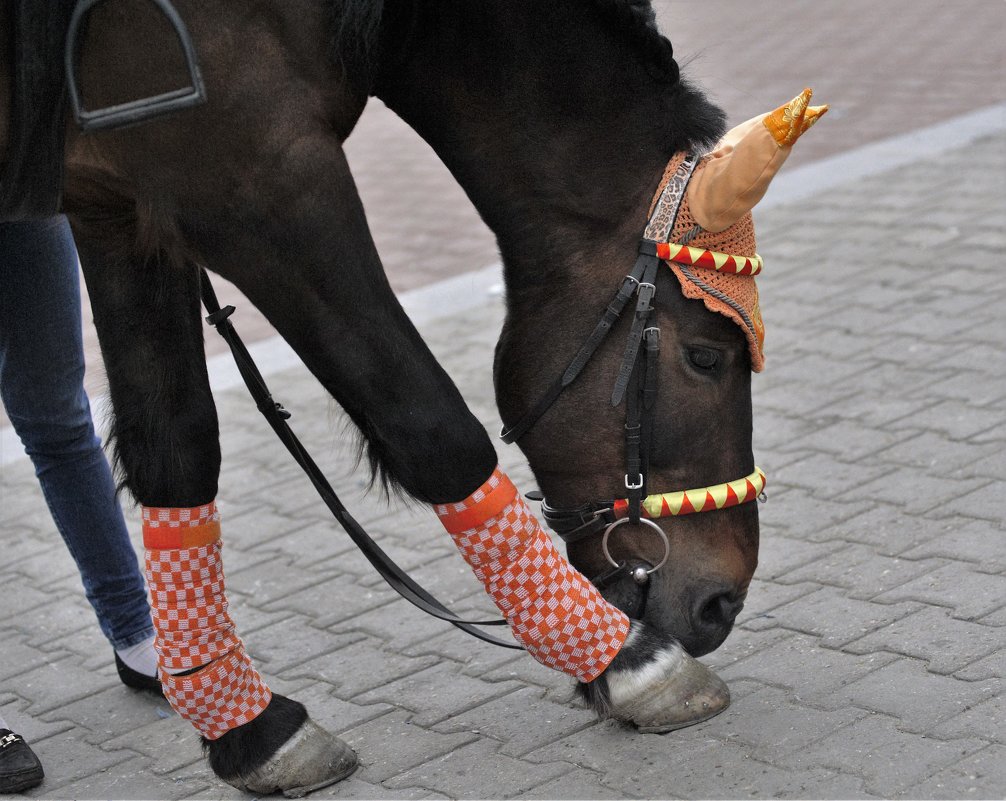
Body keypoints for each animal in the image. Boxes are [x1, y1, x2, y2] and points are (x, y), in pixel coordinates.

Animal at [0, 0, 820, 792]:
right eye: (707, 356)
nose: (720, 603)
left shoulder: (122, 205)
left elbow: (173, 444)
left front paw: (245, 726)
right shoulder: (252, 178)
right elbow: (427, 421)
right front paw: (627, 662)